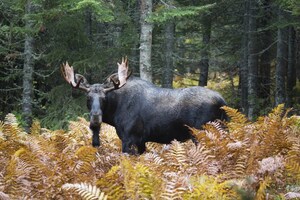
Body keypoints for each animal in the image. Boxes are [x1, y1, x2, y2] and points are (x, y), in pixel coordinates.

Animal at [61, 57, 227, 155]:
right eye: (88, 97)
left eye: (104, 98)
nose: (95, 118)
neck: (114, 115)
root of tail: (222, 102)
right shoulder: (141, 141)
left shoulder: (129, 138)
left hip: (201, 133)